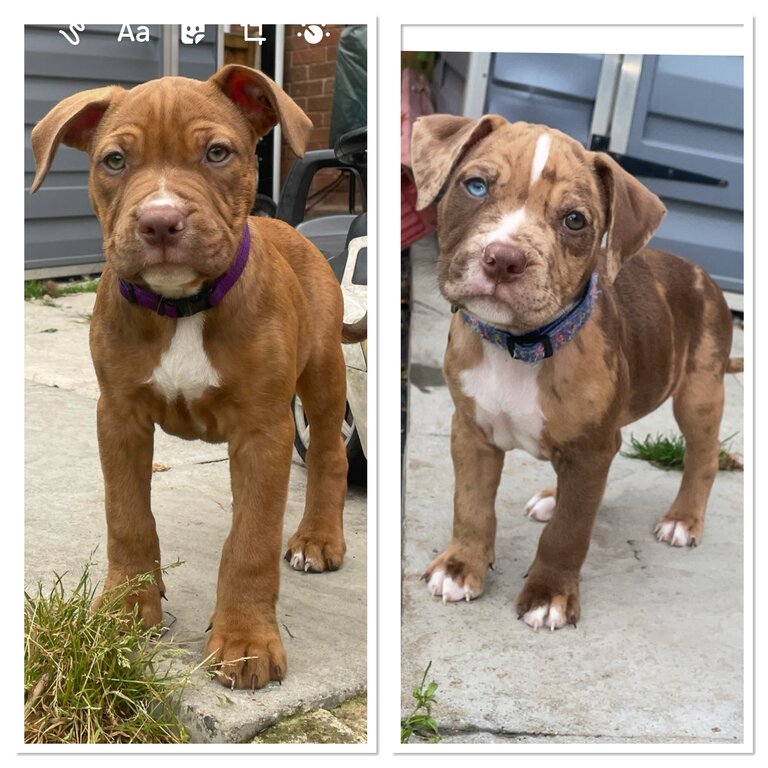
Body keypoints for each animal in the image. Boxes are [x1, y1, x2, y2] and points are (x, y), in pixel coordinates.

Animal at [30, 67, 354, 688]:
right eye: (114, 161)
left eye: (217, 153)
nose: (160, 221)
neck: (181, 306)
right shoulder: (119, 416)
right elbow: (127, 516)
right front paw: (125, 610)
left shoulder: (264, 430)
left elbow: (252, 539)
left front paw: (246, 640)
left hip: (324, 375)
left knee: (330, 455)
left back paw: (318, 538)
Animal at [412, 114, 740, 632]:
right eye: (476, 186)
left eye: (574, 220)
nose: (503, 258)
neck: (520, 346)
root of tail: (701, 273)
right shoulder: (471, 431)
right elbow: (472, 506)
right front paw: (461, 567)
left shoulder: (590, 451)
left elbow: (569, 532)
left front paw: (549, 594)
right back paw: (553, 495)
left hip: (699, 391)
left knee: (702, 458)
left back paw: (683, 519)